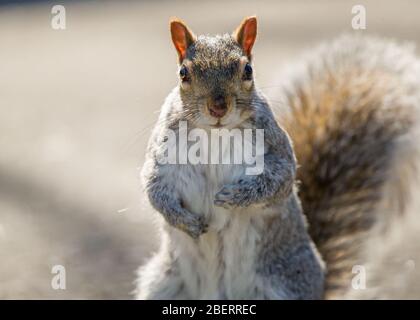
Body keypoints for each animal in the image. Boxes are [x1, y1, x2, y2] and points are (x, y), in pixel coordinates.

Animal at [135, 16, 420, 300]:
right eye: (184, 73)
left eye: (248, 70)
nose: (218, 107)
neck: (215, 133)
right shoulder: (162, 155)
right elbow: (154, 187)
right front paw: (183, 220)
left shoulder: (276, 149)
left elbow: (278, 180)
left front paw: (236, 196)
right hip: (163, 283)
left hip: (286, 284)